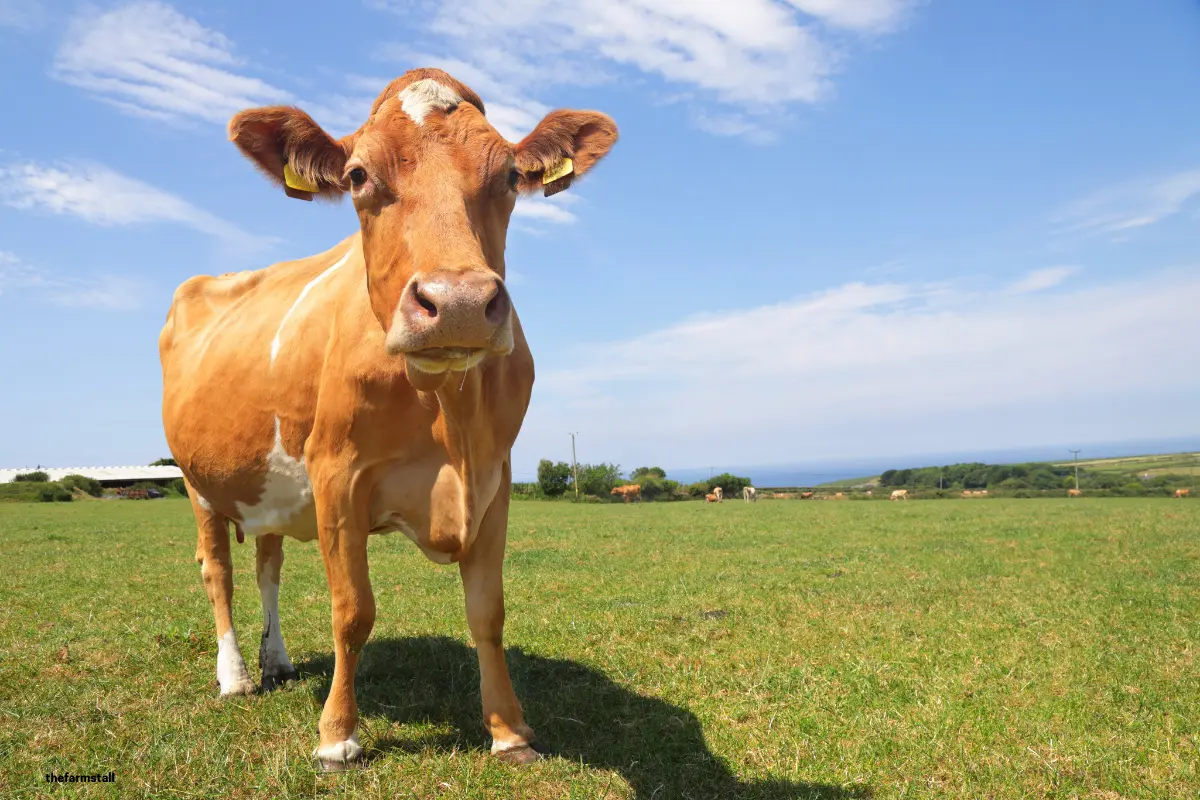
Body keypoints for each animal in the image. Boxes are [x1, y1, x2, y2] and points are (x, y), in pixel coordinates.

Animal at [159, 68, 618, 770]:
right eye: (356, 176)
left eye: (512, 175)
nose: (458, 304)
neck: (450, 415)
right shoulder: (337, 476)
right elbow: (352, 612)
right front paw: (337, 736)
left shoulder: (496, 478)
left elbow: (488, 612)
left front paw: (509, 731)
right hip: (195, 480)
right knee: (218, 571)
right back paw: (235, 676)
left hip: (265, 483)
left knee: (267, 565)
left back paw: (277, 660)